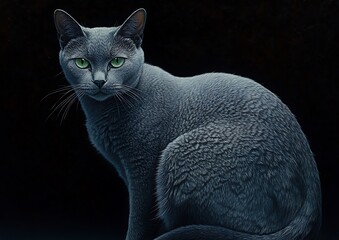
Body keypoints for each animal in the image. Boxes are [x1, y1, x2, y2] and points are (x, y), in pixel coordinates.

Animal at [54, 7, 322, 240]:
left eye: (117, 62)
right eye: (82, 63)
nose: (99, 81)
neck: (105, 113)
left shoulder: (142, 168)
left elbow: (139, 217)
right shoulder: (125, 168)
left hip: (179, 153)